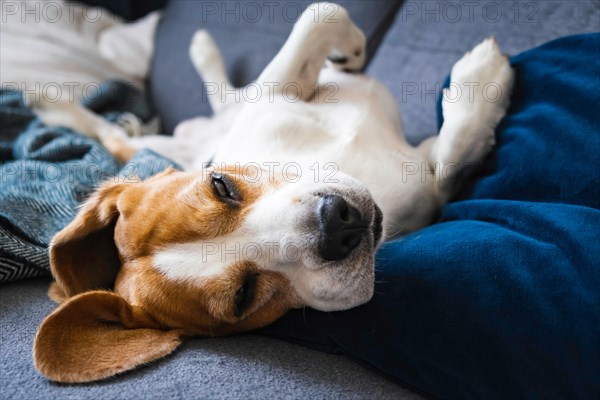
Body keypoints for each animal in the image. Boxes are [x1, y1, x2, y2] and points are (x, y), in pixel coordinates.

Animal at [29, 3, 516, 384]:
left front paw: (355, 55)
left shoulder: (272, 96)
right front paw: (481, 90)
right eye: (244, 296)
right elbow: (449, 166)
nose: (337, 223)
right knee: (115, 136)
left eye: (221, 185)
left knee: (190, 110)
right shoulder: (431, 192)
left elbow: (319, 16)